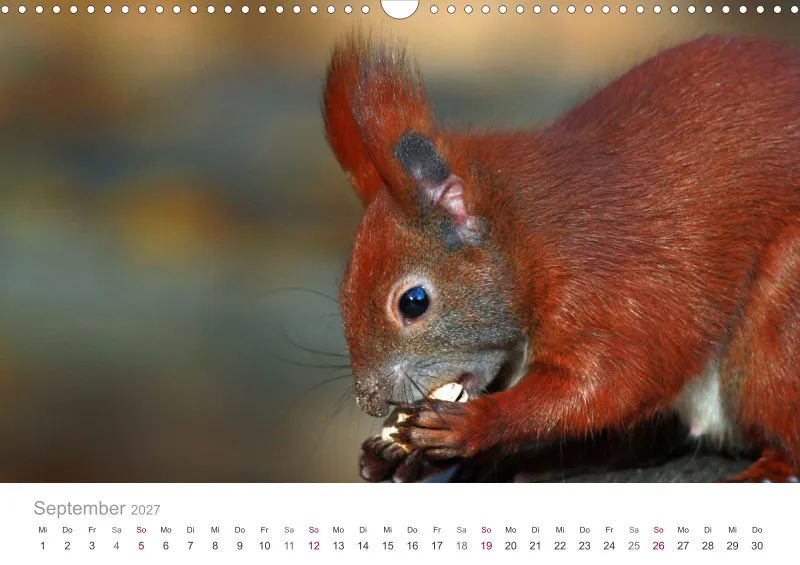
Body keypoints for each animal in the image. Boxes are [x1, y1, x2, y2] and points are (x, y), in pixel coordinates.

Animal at [321, 33, 800, 483]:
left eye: (413, 302)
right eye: (342, 291)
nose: (370, 400)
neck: (522, 233)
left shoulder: (616, 291)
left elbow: (614, 382)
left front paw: (473, 424)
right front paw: (399, 451)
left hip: (778, 325)